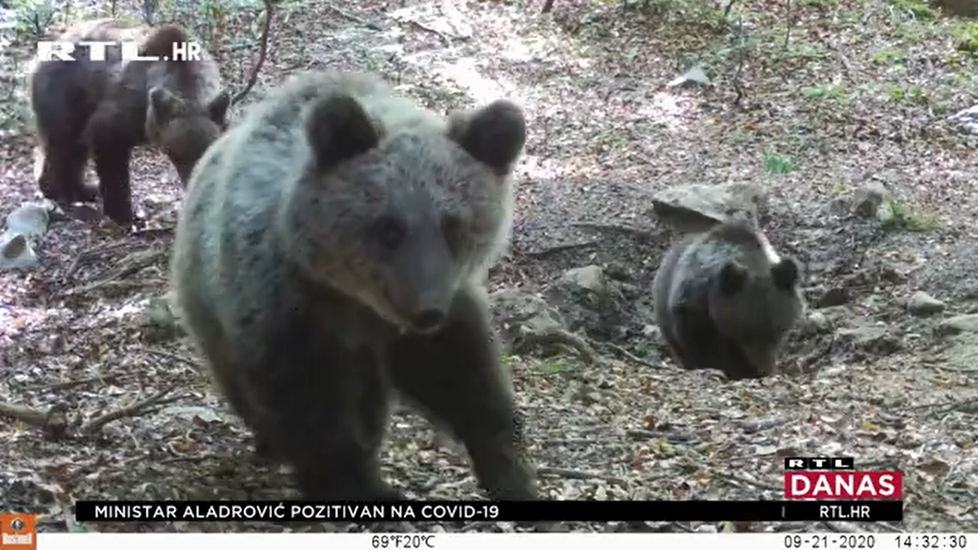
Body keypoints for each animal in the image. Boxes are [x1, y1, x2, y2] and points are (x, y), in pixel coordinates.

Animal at [27, 19, 230, 226]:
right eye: (177, 155)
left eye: (206, 152)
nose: (192, 184)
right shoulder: (129, 106)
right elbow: (108, 143)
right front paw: (122, 214)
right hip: (66, 94)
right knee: (64, 143)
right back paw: (64, 190)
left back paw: (81, 189)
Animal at [168, 71, 532, 502]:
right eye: (389, 228)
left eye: (454, 225)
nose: (426, 309)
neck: (353, 297)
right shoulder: (290, 309)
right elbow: (313, 408)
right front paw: (359, 483)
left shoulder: (438, 308)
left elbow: (461, 376)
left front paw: (508, 468)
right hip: (209, 312)